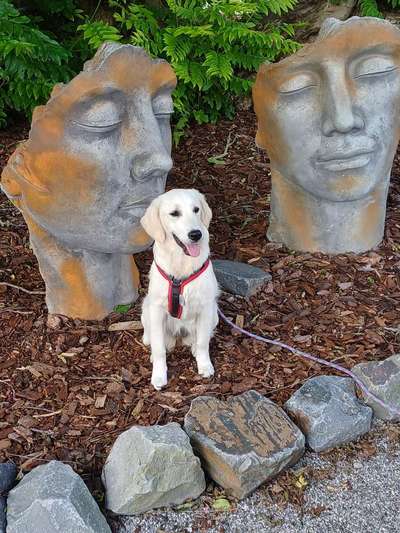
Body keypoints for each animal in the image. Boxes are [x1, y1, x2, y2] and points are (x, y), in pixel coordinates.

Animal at [141, 189, 219, 388]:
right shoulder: (156, 309)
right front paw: (159, 375)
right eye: (174, 213)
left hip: (215, 313)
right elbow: (159, 348)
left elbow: (203, 342)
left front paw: (204, 365)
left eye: (196, 209)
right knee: (152, 335)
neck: (181, 263)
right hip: (146, 307)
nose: (196, 234)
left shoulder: (206, 307)